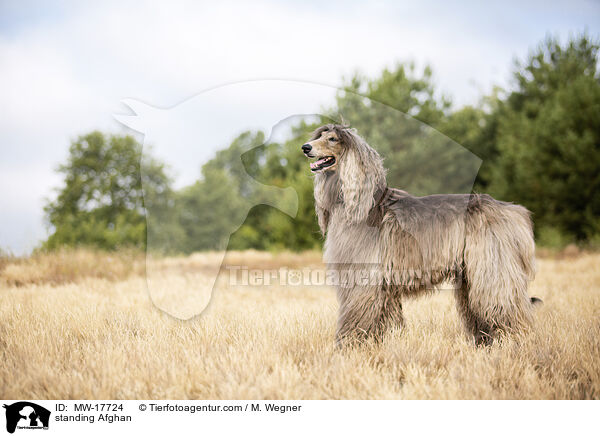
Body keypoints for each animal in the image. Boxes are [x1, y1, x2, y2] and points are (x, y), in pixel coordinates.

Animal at [302, 124, 540, 346]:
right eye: (320, 136)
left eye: (332, 139)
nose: (305, 147)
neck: (362, 205)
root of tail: (514, 211)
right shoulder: (385, 285)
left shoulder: (364, 276)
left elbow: (356, 315)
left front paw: (349, 345)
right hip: (471, 274)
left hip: (493, 269)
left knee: (507, 307)